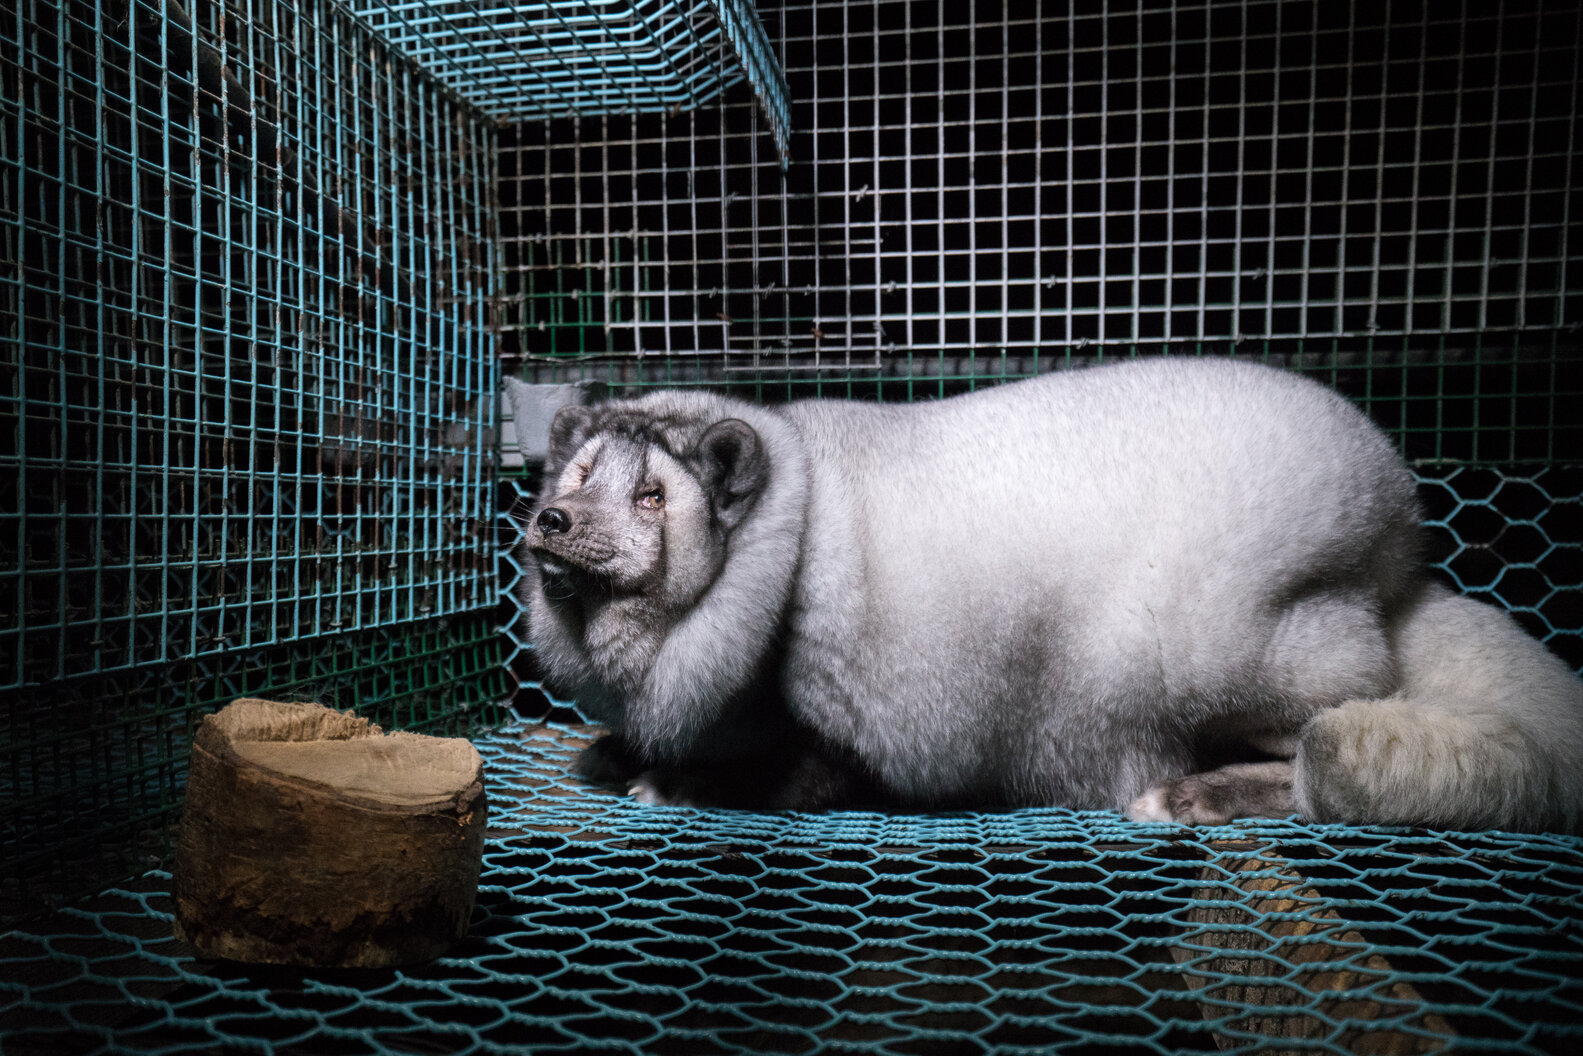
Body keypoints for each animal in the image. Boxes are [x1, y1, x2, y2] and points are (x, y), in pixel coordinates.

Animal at [521, 357, 1583, 830]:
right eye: (576, 475)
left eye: (653, 497)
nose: (552, 524)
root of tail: (1398, 559)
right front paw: (614, 753)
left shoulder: (835, 736)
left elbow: (781, 781)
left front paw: (665, 779)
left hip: (1228, 651)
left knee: (1324, 734)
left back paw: (1191, 793)